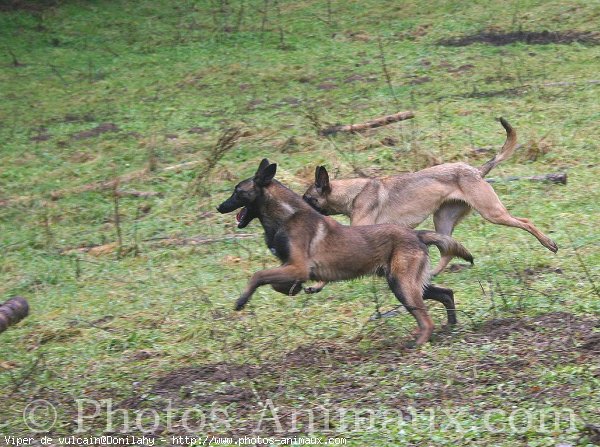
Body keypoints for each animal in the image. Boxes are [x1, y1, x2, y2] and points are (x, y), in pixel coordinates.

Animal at [216, 160, 474, 346]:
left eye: (237, 192)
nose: (219, 207)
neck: (287, 216)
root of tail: (418, 235)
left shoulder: (297, 267)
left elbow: (258, 275)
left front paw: (241, 301)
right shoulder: (291, 269)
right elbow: (278, 284)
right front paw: (294, 289)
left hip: (403, 286)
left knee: (426, 320)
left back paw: (418, 343)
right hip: (405, 282)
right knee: (446, 294)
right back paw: (451, 326)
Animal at [304, 118, 556, 288]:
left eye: (307, 198)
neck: (353, 193)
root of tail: (476, 171)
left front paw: (317, 285)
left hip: (492, 212)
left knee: (526, 221)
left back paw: (549, 243)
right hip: (442, 219)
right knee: (448, 250)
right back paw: (431, 274)